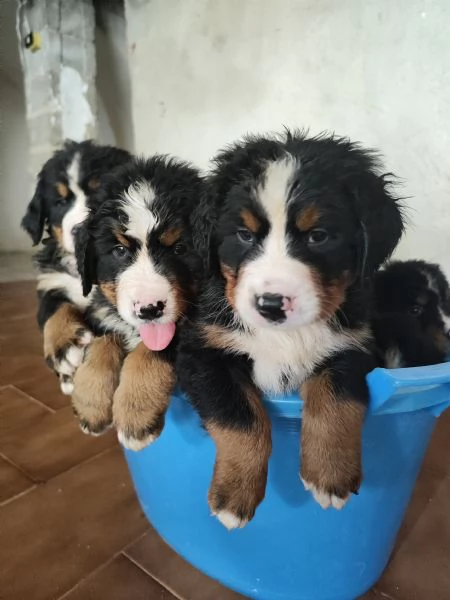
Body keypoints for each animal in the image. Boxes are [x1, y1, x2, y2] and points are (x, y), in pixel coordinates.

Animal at [73, 157, 204, 448]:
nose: (149, 309)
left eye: (179, 248)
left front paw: (135, 414)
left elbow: (148, 353)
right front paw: (90, 403)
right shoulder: (103, 313)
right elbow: (101, 343)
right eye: (119, 251)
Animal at [176, 129, 404, 528]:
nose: (270, 304)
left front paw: (330, 474)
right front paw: (233, 494)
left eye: (318, 236)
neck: (285, 336)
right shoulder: (203, 349)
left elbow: (335, 399)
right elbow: (241, 418)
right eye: (244, 235)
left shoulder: (353, 344)